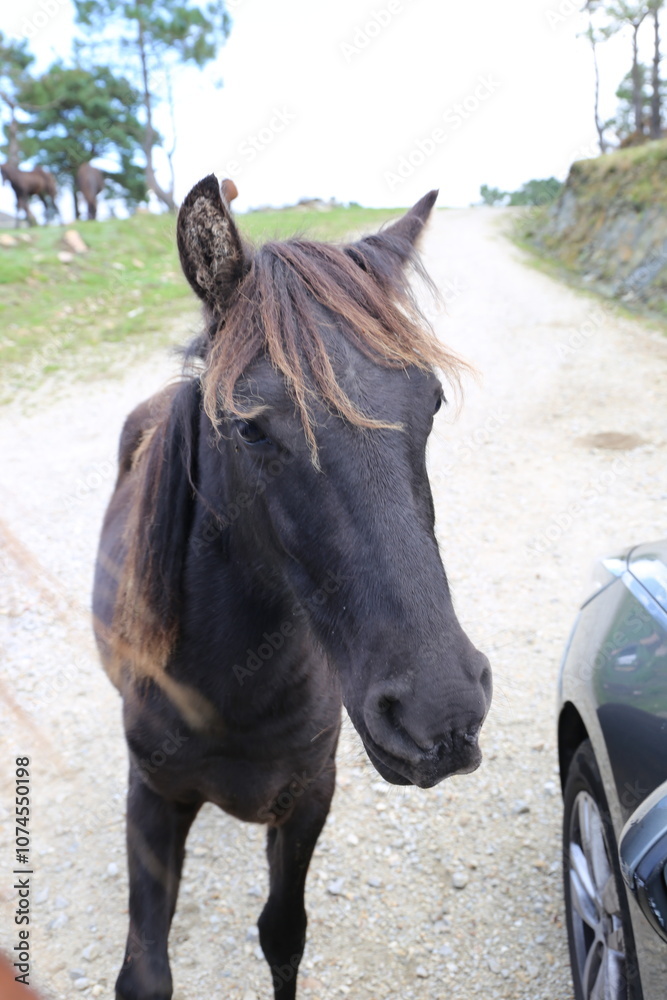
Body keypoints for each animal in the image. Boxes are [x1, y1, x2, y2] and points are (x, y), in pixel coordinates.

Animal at [92, 174, 492, 1000]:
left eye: (431, 402)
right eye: (249, 426)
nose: (440, 715)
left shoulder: (310, 794)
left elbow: (283, 935)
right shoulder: (150, 800)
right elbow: (145, 973)